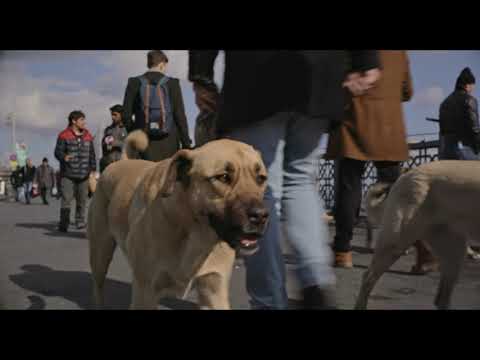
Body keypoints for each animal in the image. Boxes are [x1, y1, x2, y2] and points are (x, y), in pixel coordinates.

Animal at [88, 131, 270, 308]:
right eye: (224, 177)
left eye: (261, 178)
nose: (261, 216)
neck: (194, 232)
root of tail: (122, 162)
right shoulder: (145, 292)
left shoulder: (214, 291)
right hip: (100, 254)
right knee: (97, 286)